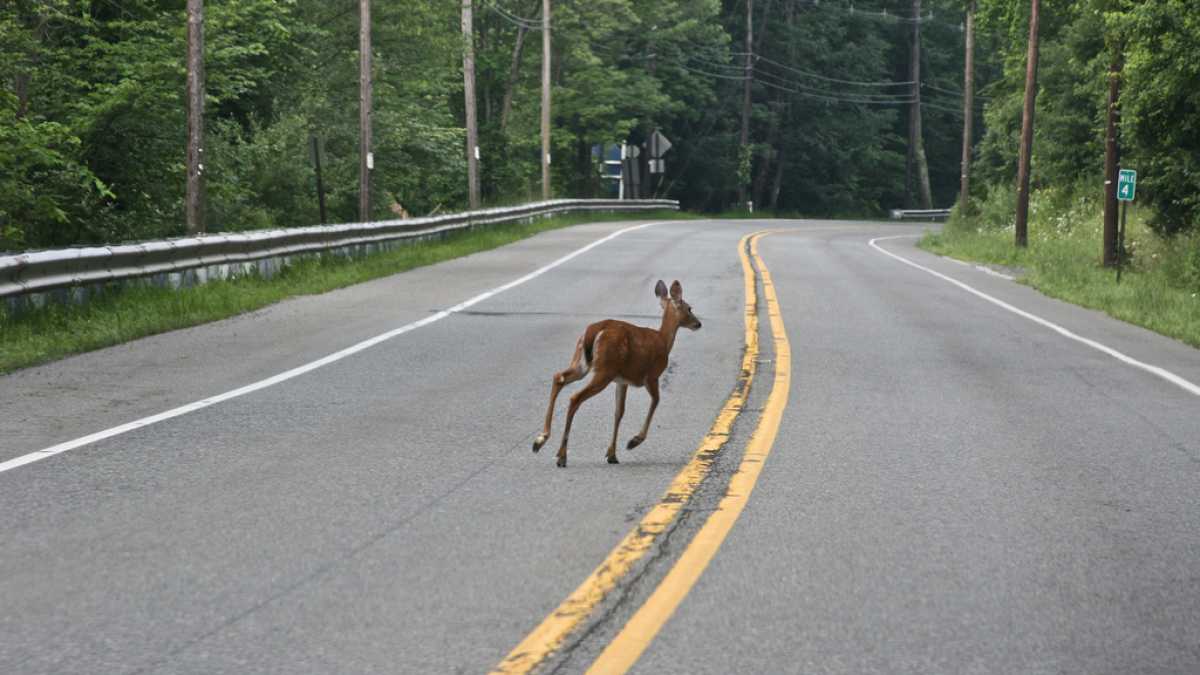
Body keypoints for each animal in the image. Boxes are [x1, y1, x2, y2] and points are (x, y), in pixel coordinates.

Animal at [532, 279, 702, 468]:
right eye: (689, 308)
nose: (698, 324)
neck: (663, 340)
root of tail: (594, 330)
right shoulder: (652, 376)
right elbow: (655, 401)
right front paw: (633, 441)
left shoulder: (622, 381)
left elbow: (619, 412)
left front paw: (612, 454)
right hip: (604, 370)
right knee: (575, 397)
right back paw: (561, 455)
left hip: (582, 363)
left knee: (558, 377)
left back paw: (540, 440)